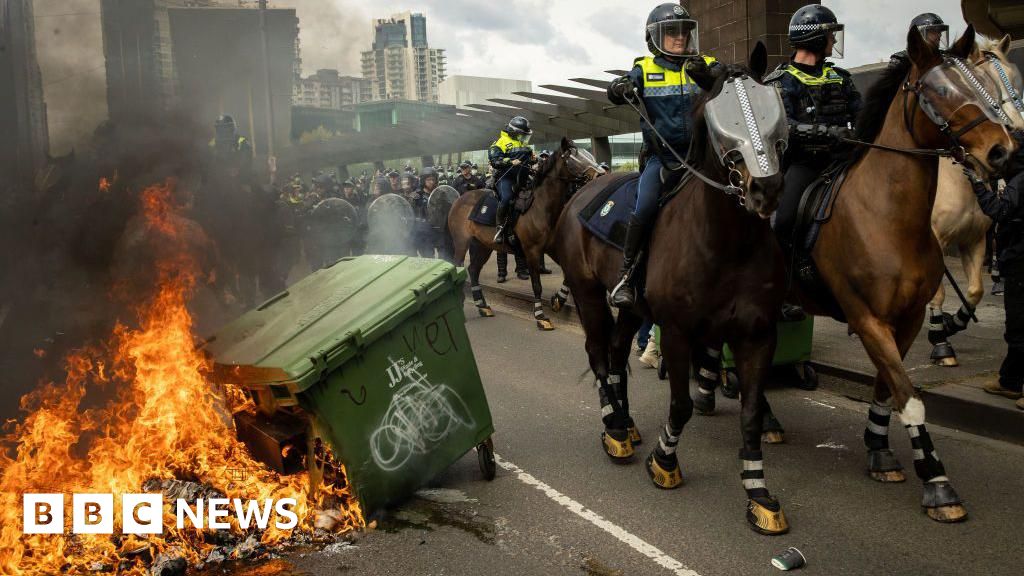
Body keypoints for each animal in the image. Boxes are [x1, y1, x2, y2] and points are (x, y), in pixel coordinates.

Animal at [446, 135, 598, 327]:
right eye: (574, 157)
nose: (600, 173)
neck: (541, 206)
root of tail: (459, 199)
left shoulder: (552, 248)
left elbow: (567, 276)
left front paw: (558, 300)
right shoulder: (532, 251)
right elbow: (536, 285)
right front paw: (540, 316)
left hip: (482, 245)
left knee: (473, 270)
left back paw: (483, 306)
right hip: (461, 242)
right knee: (459, 266)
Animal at [552, 43, 790, 532]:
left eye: (769, 104)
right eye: (720, 119)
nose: (765, 188)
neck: (728, 243)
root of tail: (582, 193)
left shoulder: (758, 333)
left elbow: (752, 414)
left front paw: (759, 494)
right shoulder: (679, 332)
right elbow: (680, 405)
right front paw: (664, 462)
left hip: (631, 308)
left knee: (617, 352)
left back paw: (625, 420)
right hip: (587, 293)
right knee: (598, 353)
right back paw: (614, 429)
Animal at [790, 25, 1015, 520]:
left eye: (979, 85)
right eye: (939, 90)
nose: (1004, 150)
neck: (888, 215)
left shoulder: (905, 318)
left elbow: (887, 385)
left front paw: (879, 449)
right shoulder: (867, 318)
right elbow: (910, 397)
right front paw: (936, 481)